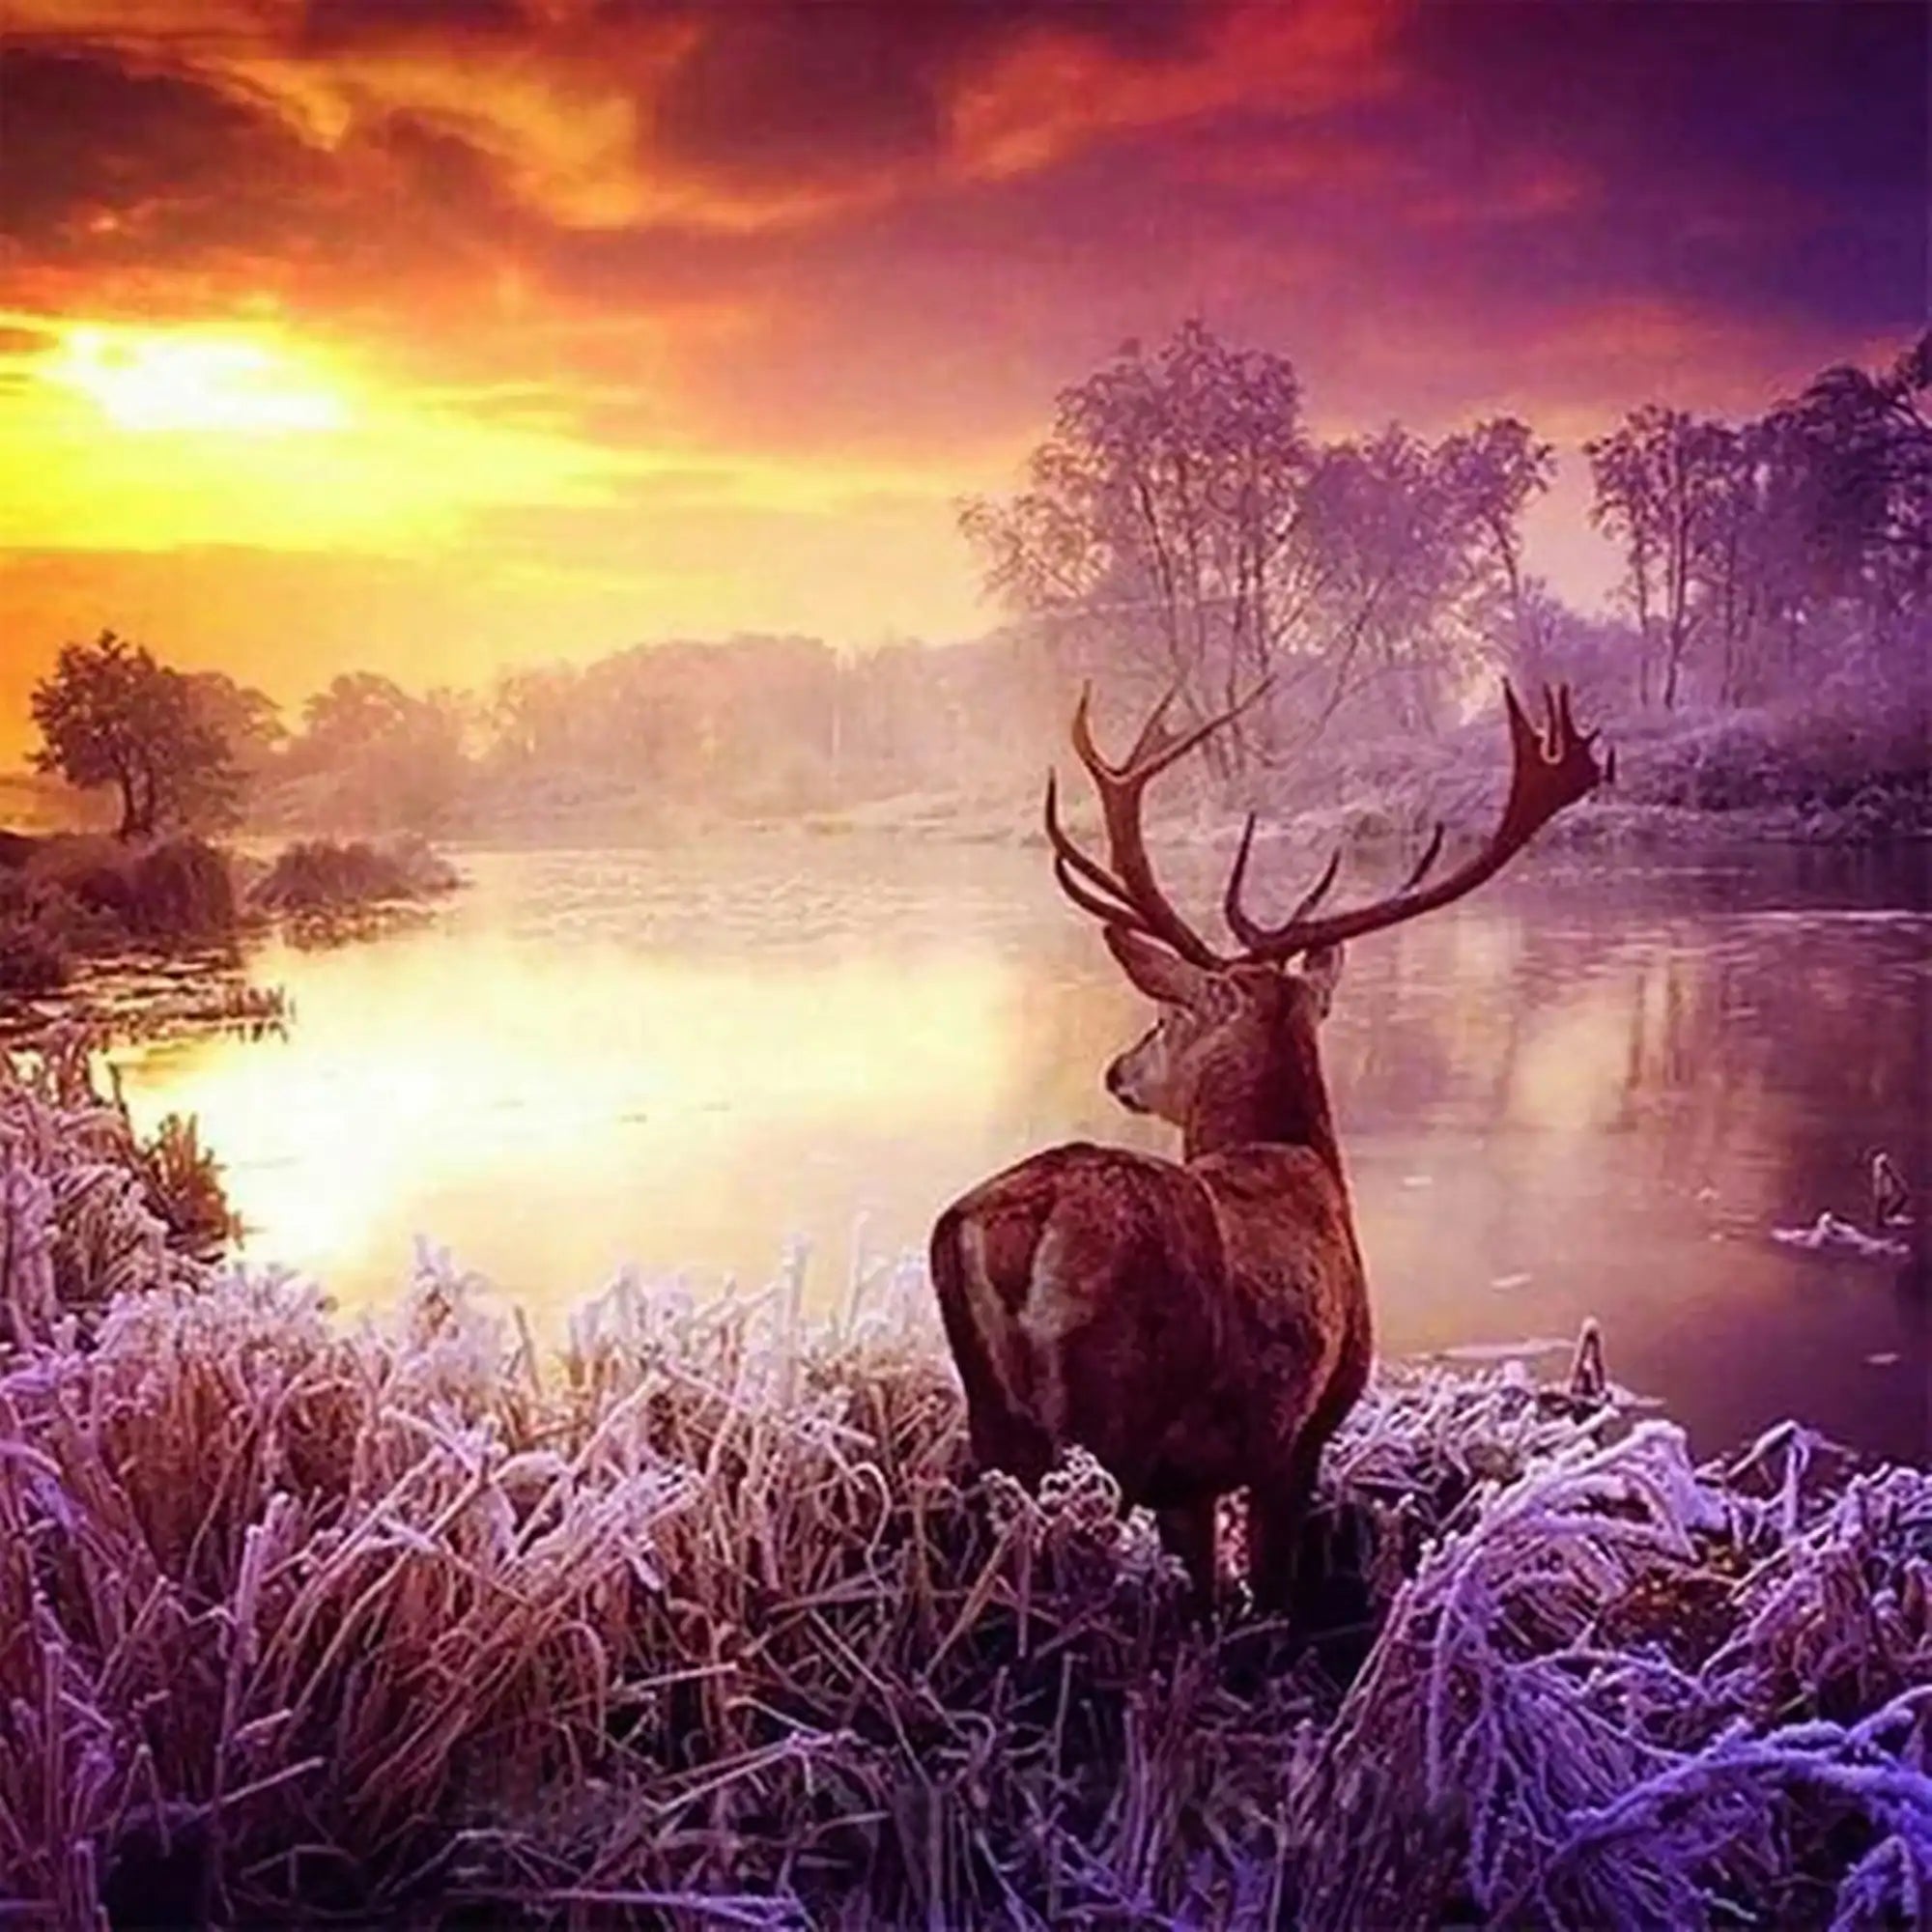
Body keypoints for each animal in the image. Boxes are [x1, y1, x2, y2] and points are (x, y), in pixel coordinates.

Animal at [929, 678, 1610, 1610]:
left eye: (1165, 1015)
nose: (1118, 1069)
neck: (1298, 1156)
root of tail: (1019, 1225)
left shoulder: (1196, 1476)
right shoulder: (1302, 1430)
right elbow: (1270, 1588)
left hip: (995, 1420)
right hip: (1116, 1420)